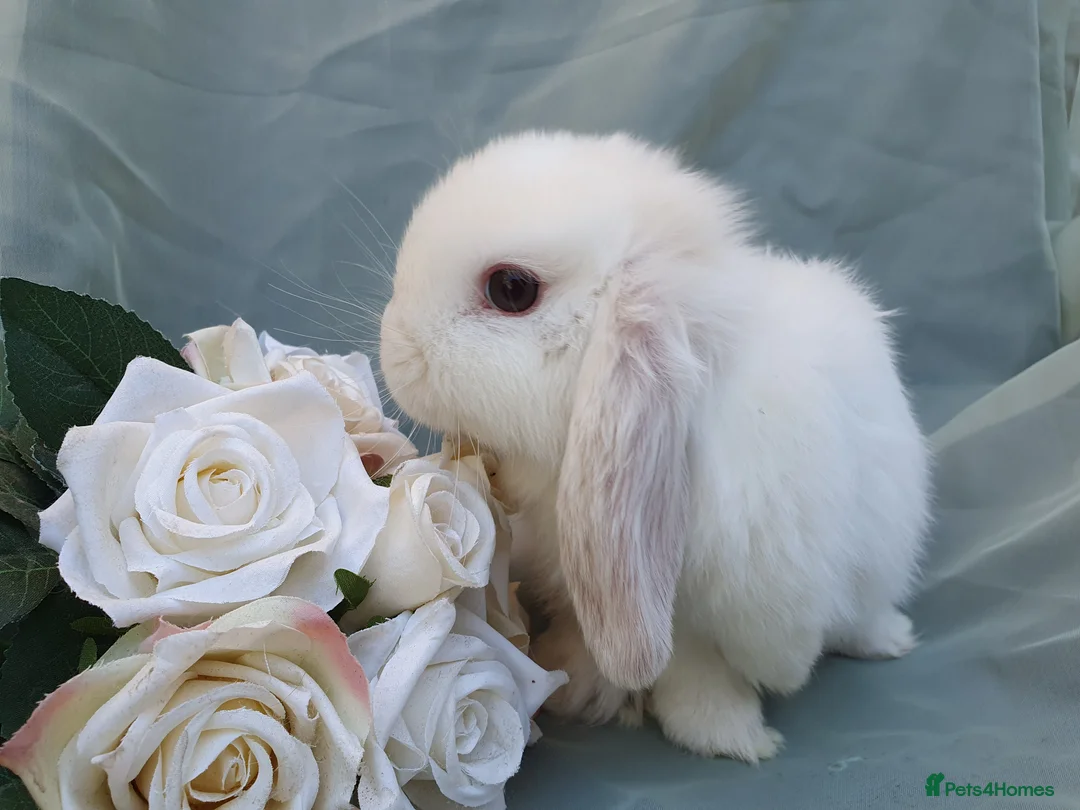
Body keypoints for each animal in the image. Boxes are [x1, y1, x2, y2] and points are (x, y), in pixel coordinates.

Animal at [379, 130, 932, 762]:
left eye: (511, 289)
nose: (393, 349)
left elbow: (703, 670)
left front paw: (730, 737)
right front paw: (572, 681)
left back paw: (889, 640)